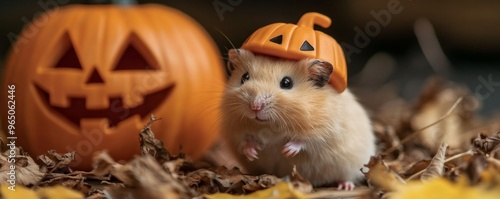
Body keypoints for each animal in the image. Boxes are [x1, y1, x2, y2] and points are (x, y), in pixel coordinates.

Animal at [223, 48, 376, 190]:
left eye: (287, 83)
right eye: (244, 77)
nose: (255, 106)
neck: (269, 125)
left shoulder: (325, 130)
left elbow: (305, 141)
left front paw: (287, 150)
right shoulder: (235, 132)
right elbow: (244, 141)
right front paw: (252, 153)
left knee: (347, 176)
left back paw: (345, 186)